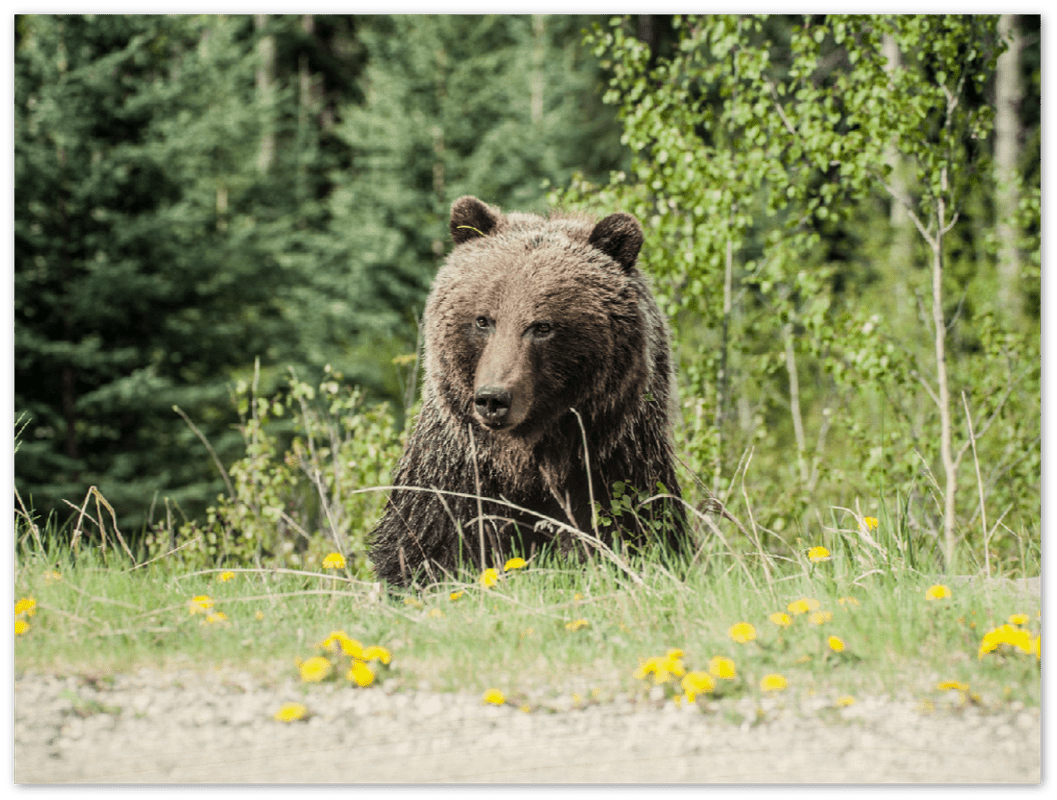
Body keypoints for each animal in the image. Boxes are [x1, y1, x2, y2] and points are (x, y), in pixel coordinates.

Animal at [368, 195, 689, 587]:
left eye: (542, 326)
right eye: (483, 320)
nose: (493, 398)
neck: (528, 459)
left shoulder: (611, 464)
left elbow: (631, 532)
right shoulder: (457, 472)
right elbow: (427, 546)